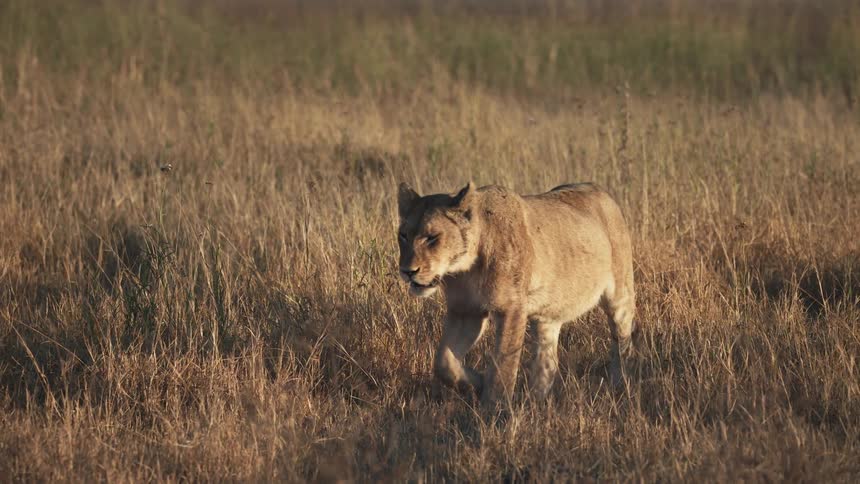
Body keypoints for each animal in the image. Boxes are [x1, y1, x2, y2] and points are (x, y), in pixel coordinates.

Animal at [396, 181, 636, 408]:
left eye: (432, 237)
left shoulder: (510, 309)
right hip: (547, 317)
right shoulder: (466, 312)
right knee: (548, 362)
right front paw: (477, 382)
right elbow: (443, 362)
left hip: (620, 297)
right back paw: (535, 404)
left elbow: (503, 366)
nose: (407, 271)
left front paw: (494, 410)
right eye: (403, 236)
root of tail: (600, 190)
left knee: (622, 343)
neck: (464, 269)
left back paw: (619, 384)